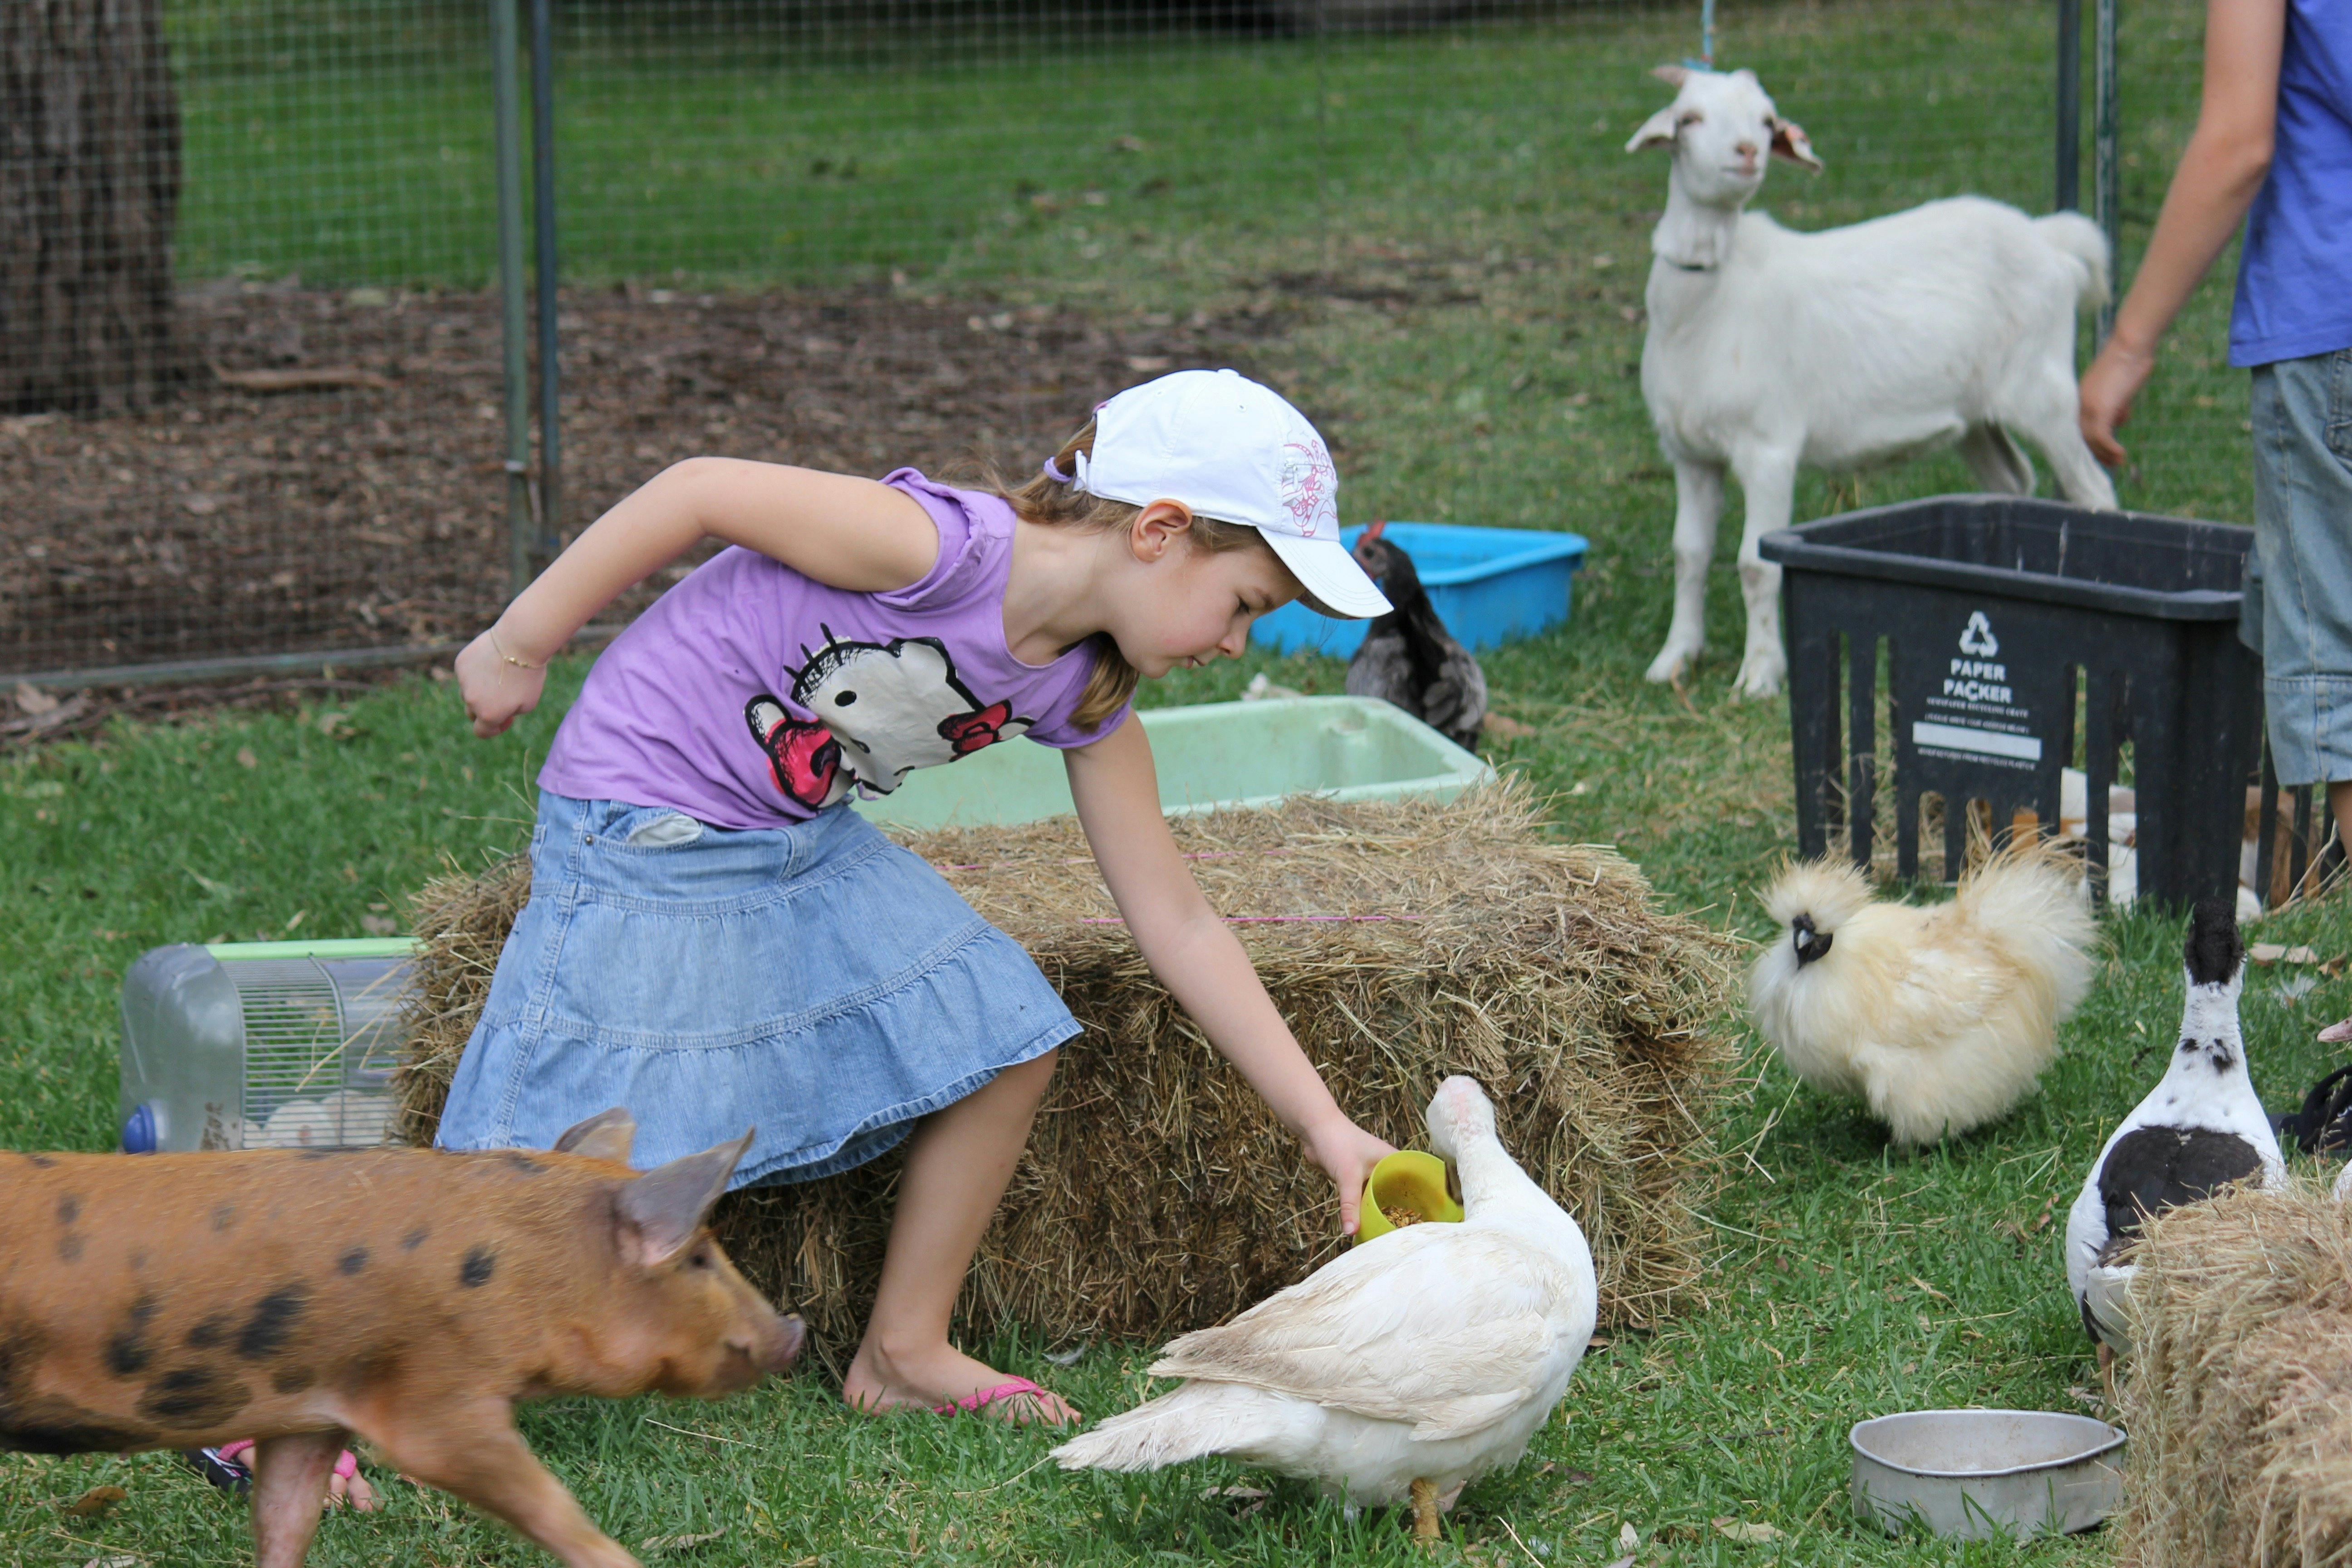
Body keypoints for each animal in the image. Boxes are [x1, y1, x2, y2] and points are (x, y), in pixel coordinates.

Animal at [0, 1109, 804, 1568]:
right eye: (698, 1257)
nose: (792, 1331)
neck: (530, 1270)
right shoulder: (435, 1401)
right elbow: (552, 1509)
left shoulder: (307, 1414)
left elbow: (286, 1519)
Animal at [1637, 66, 2117, 691]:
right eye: (1689, 118)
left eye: (1766, 122)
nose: (1747, 152)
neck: (1707, 302)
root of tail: (2049, 238)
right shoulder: (1689, 454)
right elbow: (1688, 554)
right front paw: (1674, 659)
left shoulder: (1769, 446)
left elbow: (1754, 565)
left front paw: (1761, 675)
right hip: (1976, 418)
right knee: (2012, 482)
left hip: (2044, 391)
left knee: (2094, 489)